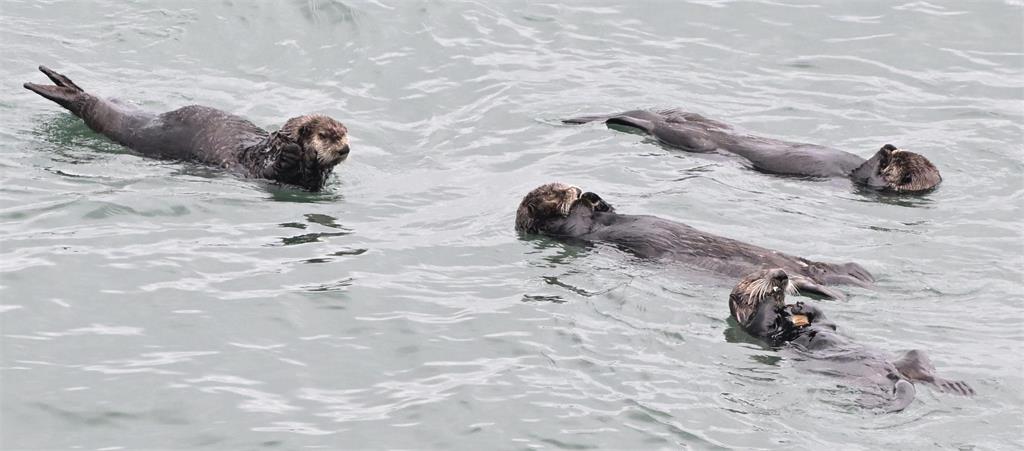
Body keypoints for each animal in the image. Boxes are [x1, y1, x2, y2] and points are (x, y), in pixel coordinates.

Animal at [24, 65, 350, 190]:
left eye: (345, 134)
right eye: (325, 135)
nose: (344, 149)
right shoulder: (259, 165)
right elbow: (274, 168)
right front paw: (291, 153)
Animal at [512, 181, 872, 297]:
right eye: (554, 192)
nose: (572, 189)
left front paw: (595, 197)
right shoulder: (568, 231)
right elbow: (576, 222)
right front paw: (583, 200)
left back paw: (858, 272)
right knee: (802, 280)